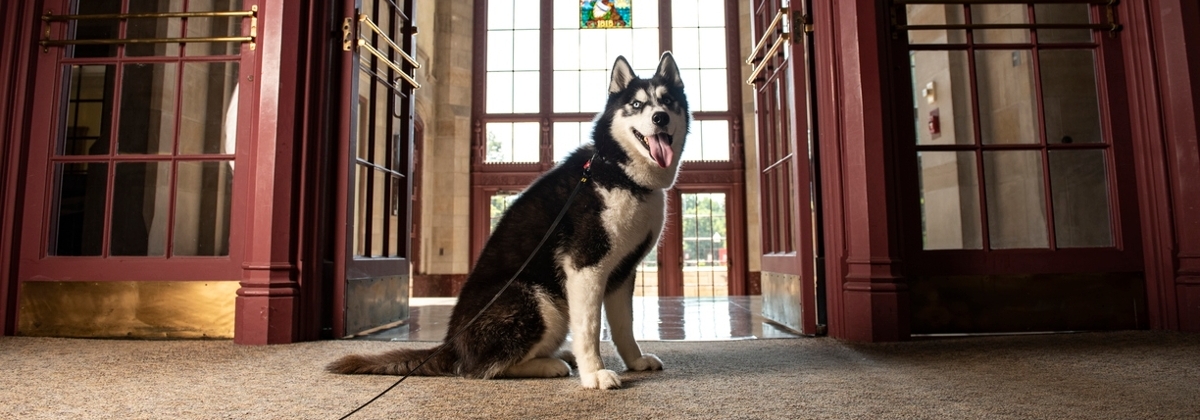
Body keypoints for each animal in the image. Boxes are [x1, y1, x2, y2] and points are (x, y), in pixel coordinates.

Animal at [324, 52, 691, 391]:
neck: (618, 171)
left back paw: (559, 355)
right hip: (538, 301)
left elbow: (623, 326)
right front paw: (594, 374)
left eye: (668, 101)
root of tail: (451, 345)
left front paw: (634, 361)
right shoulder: (585, 266)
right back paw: (551, 364)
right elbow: (588, 328)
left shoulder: (621, 272)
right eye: (636, 104)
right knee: (478, 369)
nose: (659, 117)